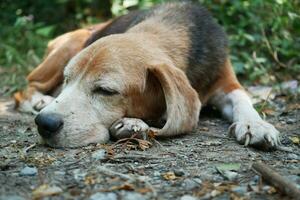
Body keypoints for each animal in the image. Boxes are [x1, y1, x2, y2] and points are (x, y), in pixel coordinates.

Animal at [14, 1, 282, 148]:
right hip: (69, 46)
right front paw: (133, 123)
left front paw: (256, 124)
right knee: (27, 85)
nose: (44, 123)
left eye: (105, 91)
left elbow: (242, 99)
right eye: (68, 80)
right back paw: (39, 100)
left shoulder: (226, 82)